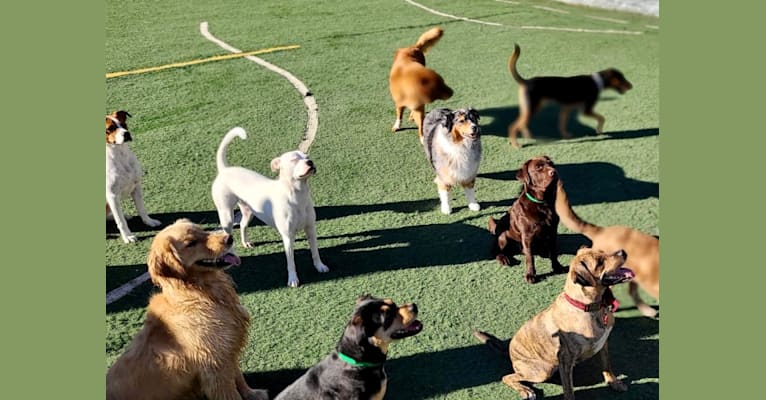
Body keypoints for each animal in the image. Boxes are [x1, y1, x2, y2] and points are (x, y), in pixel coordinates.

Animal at [105, 220, 268, 400]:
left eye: (203, 231)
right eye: (191, 243)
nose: (229, 238)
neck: (200, 295)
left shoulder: (227, 350)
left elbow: (238, 376)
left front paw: (252, 393)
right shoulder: (216, 366)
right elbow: (232, 391)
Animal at [474, 247, 636, 400]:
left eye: (603, 252)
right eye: (599, 262)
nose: (623, 251)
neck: (588, 307)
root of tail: (508, 351)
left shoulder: (603, 344)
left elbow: (607, 365)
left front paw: (614, 382)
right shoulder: (565, 359)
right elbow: (569, 390)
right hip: (543, 371)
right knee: (507, 377)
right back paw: (526, 390)